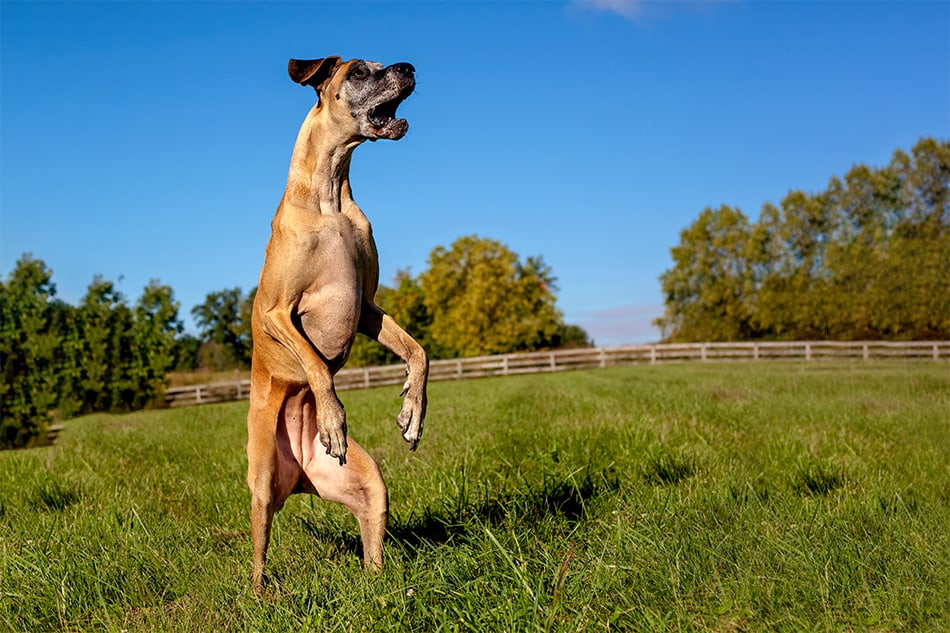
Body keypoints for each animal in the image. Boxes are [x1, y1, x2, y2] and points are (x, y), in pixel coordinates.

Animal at [245, 56, 428, 596]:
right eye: (361, 71)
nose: (409, 66)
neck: (329, 197)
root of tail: (300, 476)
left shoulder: (366, 307)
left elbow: (418, 351)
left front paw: (413, 412)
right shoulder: (276, 313)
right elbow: (317, 368)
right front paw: (332, 419)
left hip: (371, 486)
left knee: (373, 547)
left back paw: (384, 588)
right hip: (262, 482)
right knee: (258, 553)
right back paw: (257, 597)